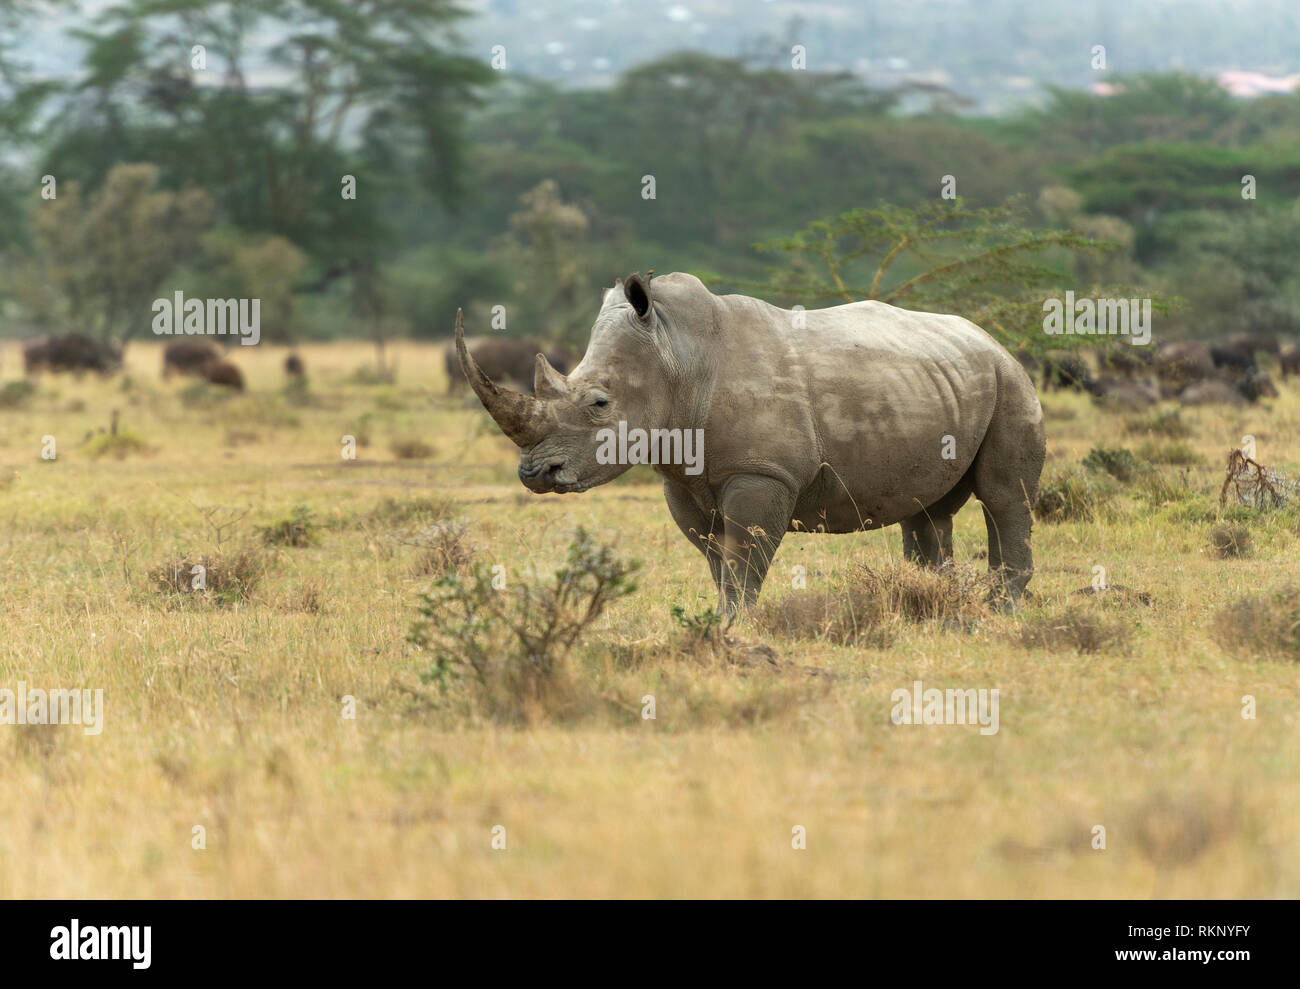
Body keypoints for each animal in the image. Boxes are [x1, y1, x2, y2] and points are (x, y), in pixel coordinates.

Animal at [457, 270, 1045, 610]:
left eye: (599, 404)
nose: (535, 475)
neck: (677, 358)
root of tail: (991, 338)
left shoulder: (762, 471)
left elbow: (744, 559)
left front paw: (735, 628)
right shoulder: (683, 478)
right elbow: (717, 559)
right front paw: (718, 622)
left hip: (1011, 381)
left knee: (1003, 497)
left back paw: (1000, 610)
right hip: (946, 379)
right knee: (927, 509)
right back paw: (932, 604)